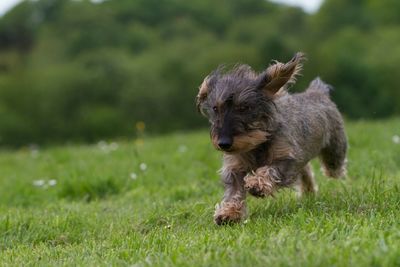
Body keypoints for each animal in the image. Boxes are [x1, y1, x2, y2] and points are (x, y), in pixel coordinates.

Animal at [197, 52, 346, 226]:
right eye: (215, 108)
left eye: (244, 107)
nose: (223, 144)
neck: (257, 144)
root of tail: (317, 92)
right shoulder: (235, 168)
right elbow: (234, 191)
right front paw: (229, 213)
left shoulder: (287, 158)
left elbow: (271, 170)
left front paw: (257, 184)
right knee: (306, 171)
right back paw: (308, 192)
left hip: (334, 152)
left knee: (332, 168)